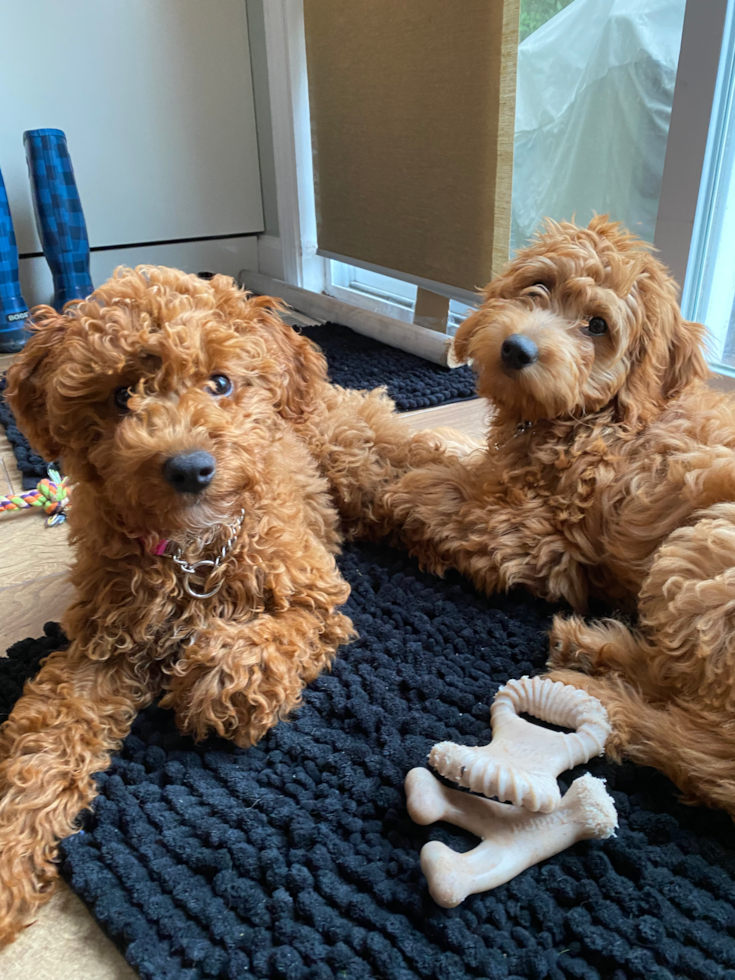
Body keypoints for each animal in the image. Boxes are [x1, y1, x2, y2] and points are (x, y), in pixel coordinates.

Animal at [386, 220, 735, 820]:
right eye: (538, 285)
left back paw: (606, 697)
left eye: (597, 326)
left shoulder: (541, 543)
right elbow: (457, 457)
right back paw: (594, 647)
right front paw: (410, 446)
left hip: (703, 554)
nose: (515, 348)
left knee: (706, 749)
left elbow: (445, 498)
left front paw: (395, 492)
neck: (596, 416)